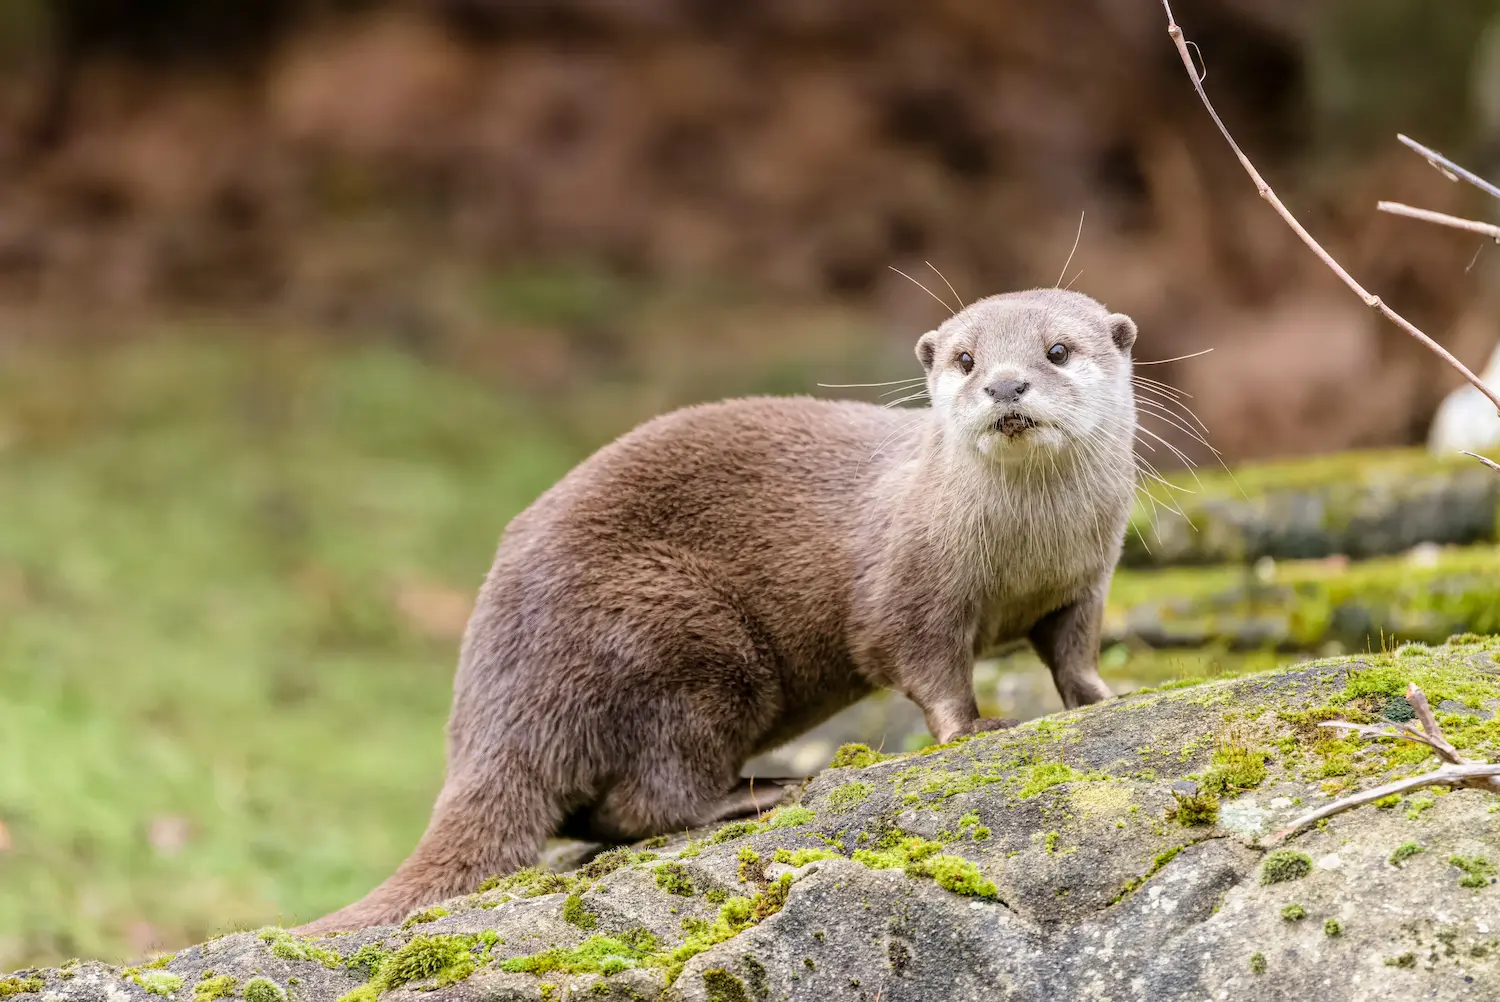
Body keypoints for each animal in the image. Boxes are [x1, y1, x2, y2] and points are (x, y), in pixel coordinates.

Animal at [295, 288, 1134, 930]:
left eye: (1058, 350)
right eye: (965, 359)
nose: (1005, 386)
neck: (1025, 551)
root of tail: (486, 712)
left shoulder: (1086, 580)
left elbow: (1074, 649)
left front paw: (1106, 696)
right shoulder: (910, 587)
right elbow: (923, 663)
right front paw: (976, 728)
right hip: (680, 638)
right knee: (653, 796)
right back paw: (758, 794)